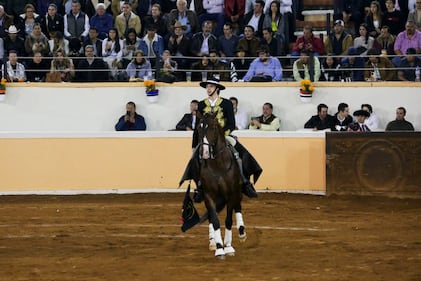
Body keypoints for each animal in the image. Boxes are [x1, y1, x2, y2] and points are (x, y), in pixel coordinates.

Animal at [197, 111, 246, 258]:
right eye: (198, 128)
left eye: (213, 128)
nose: (204, 153)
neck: (218, 165)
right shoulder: (209, 195)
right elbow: (215, 220)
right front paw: (219, 247)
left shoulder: (231, 193)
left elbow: (228, 220)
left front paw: (228, 246)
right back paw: (212, 242)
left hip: (237, 191)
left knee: (238, 206)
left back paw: (242, 232)